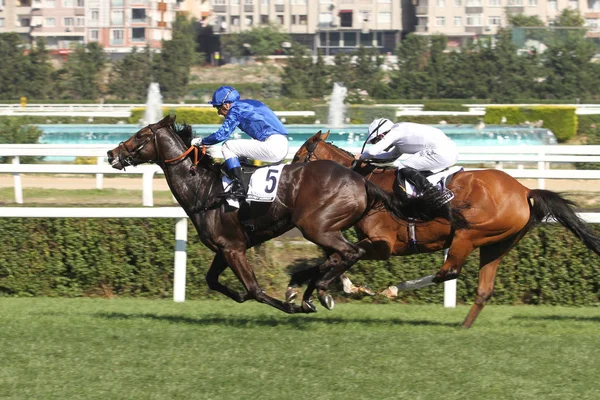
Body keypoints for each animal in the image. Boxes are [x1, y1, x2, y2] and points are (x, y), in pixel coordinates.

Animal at [106, 115, 426, 316]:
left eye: (141, 135)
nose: (111, 153)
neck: (204, 189)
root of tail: (361, 180)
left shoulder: (233, 248)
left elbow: (254, 289)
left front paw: (291, 305)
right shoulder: (225, 248)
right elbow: (213, 281)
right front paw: (242, 296)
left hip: (315, 227)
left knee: (350, 252)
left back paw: (316, 292)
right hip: (326, 228)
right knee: (340, 256)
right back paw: (315, 290)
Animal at [290, 131, 600, 328]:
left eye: (299, 154)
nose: (289, 177)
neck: (367, 183)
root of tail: (524, 190)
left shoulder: (383, 244)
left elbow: (340, 256)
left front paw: (331, 289)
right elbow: (333, 256)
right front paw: (325, 287)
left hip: (468, 234)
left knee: (448, 271)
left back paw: (394, 289)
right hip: (497, 245)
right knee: (483, 290)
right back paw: (463, 327)